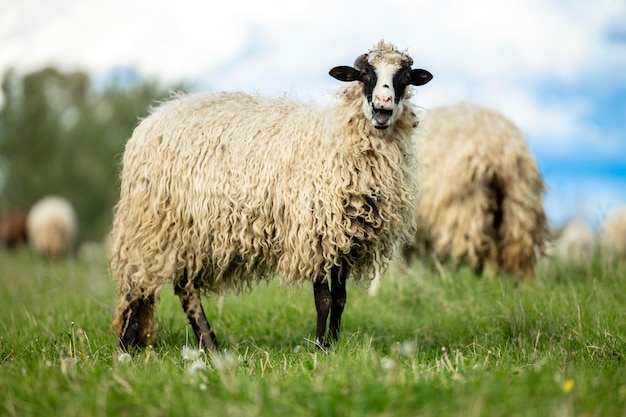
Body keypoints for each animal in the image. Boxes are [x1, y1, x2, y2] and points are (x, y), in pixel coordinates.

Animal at [109, 39, 432, 352]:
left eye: (404, 78)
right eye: (364, 75)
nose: (383, 103)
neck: (336, 140)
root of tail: (151, 120)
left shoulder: (342, 239)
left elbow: (340, 298)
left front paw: (334, 345)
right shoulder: (312, 233)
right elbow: (324, 299)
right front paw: (319, 349)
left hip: (189, 232)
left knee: (183, 289)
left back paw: (208, 347)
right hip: (153, 224)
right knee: (138, 284)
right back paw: (128, 348)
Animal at [400, 102, 544, 282]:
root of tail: (501, 149)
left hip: (468, 208)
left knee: (488, 250)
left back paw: (489, 282)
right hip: (520, 205)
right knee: (520, 251)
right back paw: (523, 284)